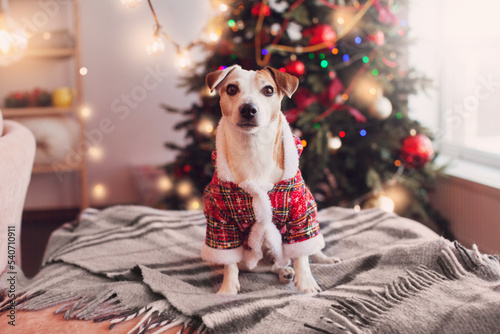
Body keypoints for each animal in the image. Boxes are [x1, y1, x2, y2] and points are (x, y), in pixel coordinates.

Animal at [199, 64, 336, 294]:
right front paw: (227, 288)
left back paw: (323, 259)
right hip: (250, 258)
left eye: (268, 90)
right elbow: (228, 260)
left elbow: (302, 254)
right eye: (232, 89)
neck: (253, 150)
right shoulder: (220, 220)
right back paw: (284, 271)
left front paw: (307, 282)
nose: (248, 109)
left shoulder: (300, 210)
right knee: (271, 265)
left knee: (310, 246)